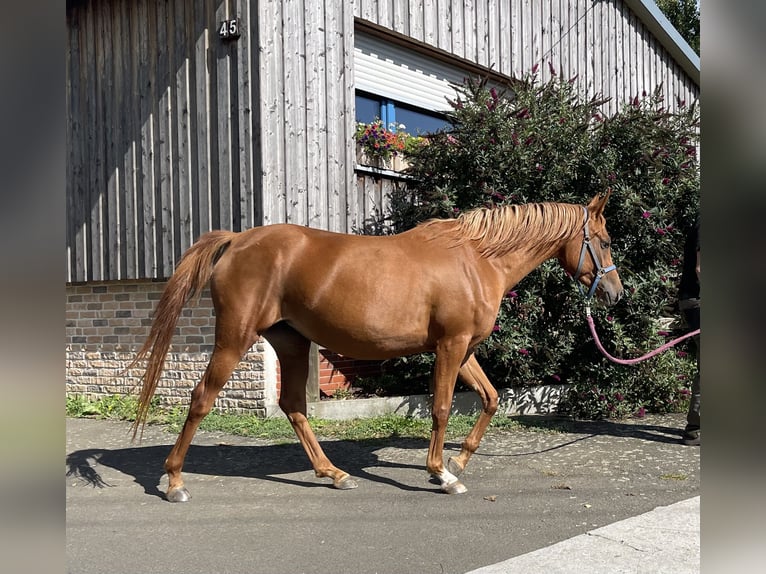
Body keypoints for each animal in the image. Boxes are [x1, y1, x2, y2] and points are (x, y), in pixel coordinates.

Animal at [129, 191, 623, 501]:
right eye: (603, 241)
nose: (615, 293)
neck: (476, 259)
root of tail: (236, 241)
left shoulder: (463, 349)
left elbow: (490, 398)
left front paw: (458, 461)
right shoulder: (450, 345)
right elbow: (441, 406)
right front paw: (441, 474)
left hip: (291, 343)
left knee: (294, 407)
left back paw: (333, 474)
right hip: (235, 337)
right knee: (202, 398)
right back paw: (174, 482)